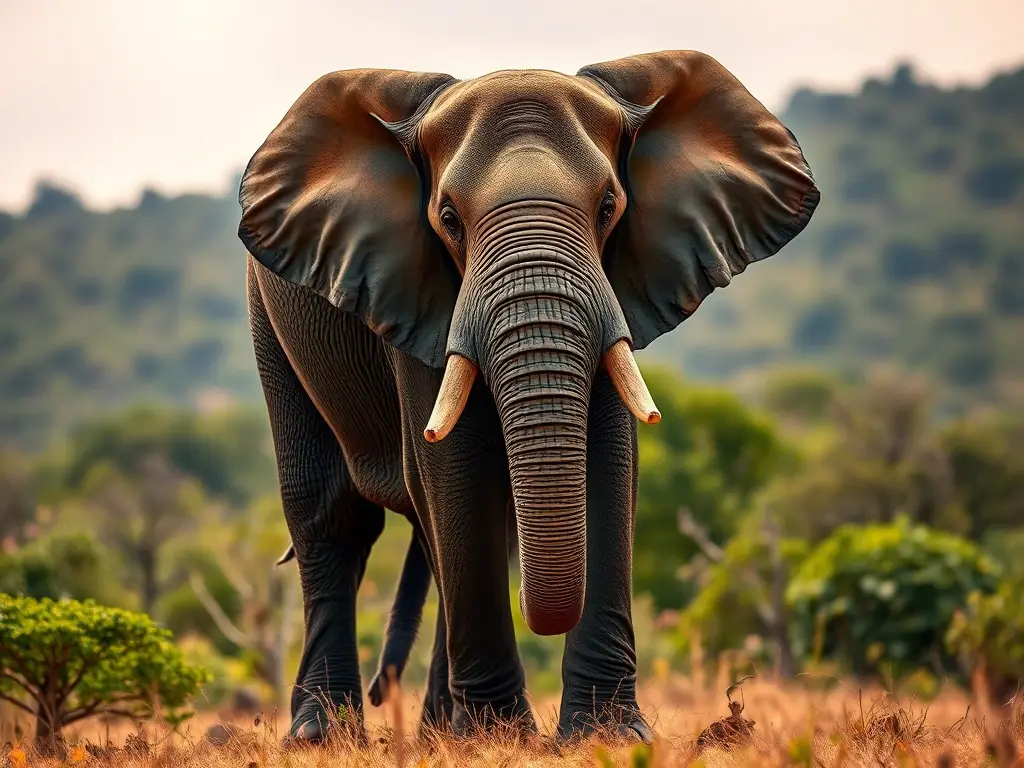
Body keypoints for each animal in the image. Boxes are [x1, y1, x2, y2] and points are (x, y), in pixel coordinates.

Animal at [237, 49, 819, 744]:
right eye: (448, 219)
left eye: (609, 205)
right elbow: (452, 465)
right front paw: (502, 737)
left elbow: (609, 457)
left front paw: (605, 737)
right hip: (269, 313)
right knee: (332, 517)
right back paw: (324, 734)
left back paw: (438, 732)